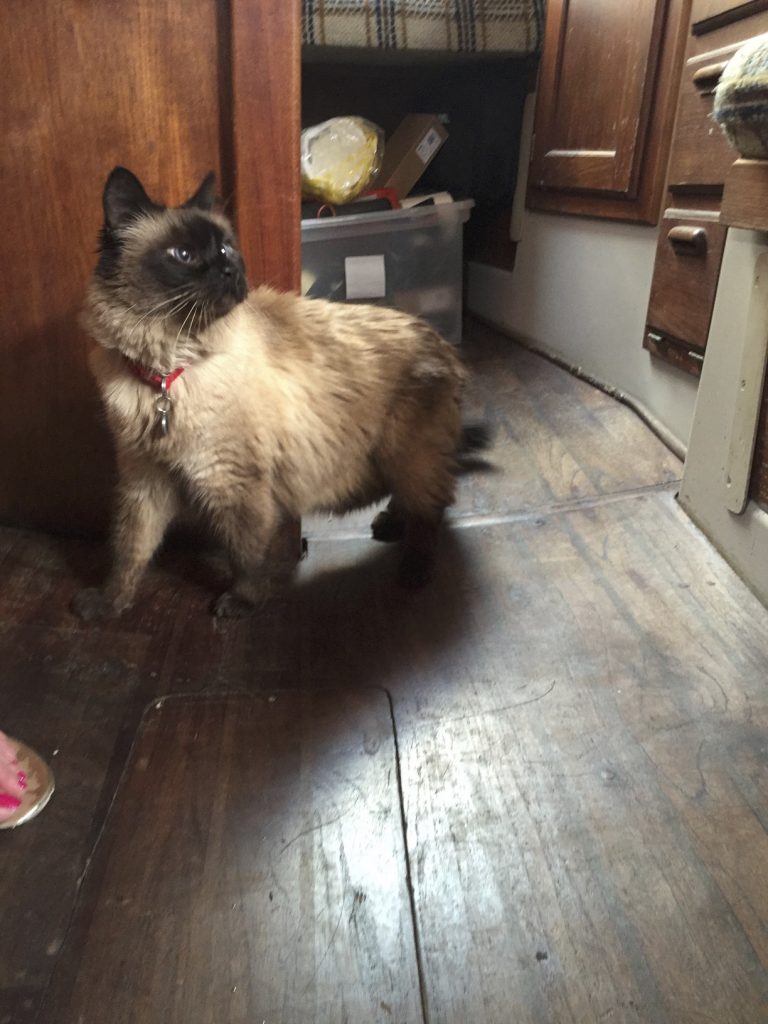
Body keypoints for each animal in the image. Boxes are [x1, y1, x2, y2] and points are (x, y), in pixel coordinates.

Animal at [75, 167, 487, 618]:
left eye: (226, 248)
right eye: (183, 255)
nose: (230, 271)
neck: (166, 372)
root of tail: (443, 342)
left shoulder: (233, 481)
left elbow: (245, 554)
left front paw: (241, 602)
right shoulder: (145, 480)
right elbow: (129, 550)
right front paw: (109, 604)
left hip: (404, 453)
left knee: (432, 507)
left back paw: (413, 570)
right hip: (394, 458)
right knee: (418, 499)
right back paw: (392, 525)